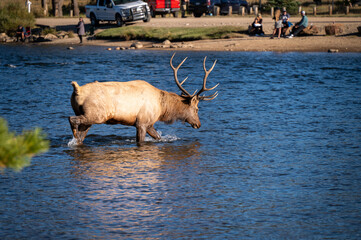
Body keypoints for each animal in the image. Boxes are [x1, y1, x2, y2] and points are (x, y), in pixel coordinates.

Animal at [69, 54, 218, 144]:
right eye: (197, 109)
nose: (198, 124)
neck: (162, 108)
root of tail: (77, 89)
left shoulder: (149, 123)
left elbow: (158, 137)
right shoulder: (142, 122)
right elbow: (141, 141)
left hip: (89, 117)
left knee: (81, 135)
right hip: (96, 114)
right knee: (72, 119)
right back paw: (74, 134)